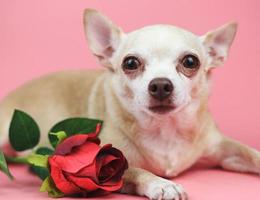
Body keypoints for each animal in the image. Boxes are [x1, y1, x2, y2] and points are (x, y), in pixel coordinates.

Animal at [0, 8, 260, 199]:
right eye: (131, 63)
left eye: (190, 61)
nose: (161, 85)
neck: (165, 130)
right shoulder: (105, 164)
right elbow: (136, 170)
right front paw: (161, 184)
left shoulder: (223, 149)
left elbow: (248, 153)